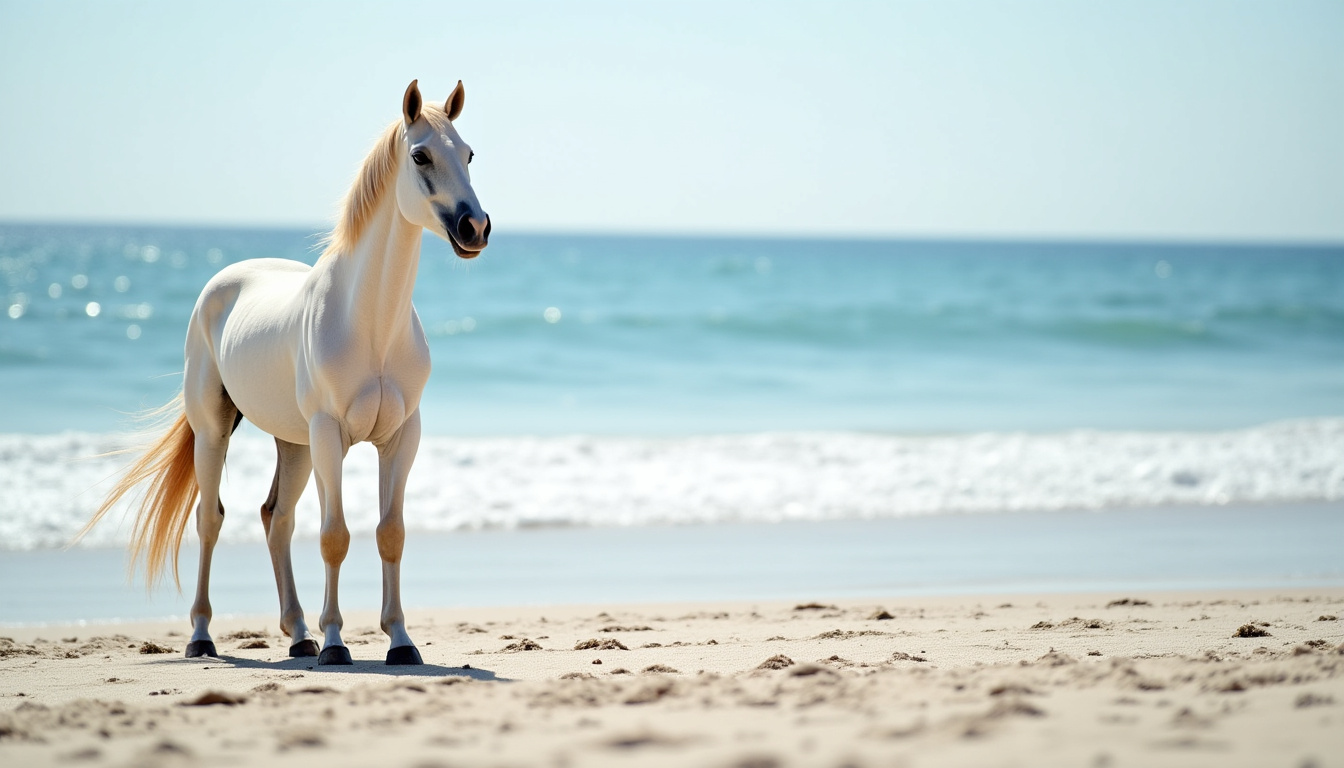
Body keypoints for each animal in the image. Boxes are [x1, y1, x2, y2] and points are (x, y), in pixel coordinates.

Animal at [79, 80, 490, 666]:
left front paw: (400, 641)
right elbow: (334, 535)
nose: (474, 227)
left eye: (469, 154)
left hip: (293, 444)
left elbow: (390, 533)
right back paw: (202, 637)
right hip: (216, 432)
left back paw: (298, 635)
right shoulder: (330, 435)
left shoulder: (400, 437)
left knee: (277, 520)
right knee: (210, 519)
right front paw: (337, 644)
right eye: (420, 155)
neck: (369, 321)